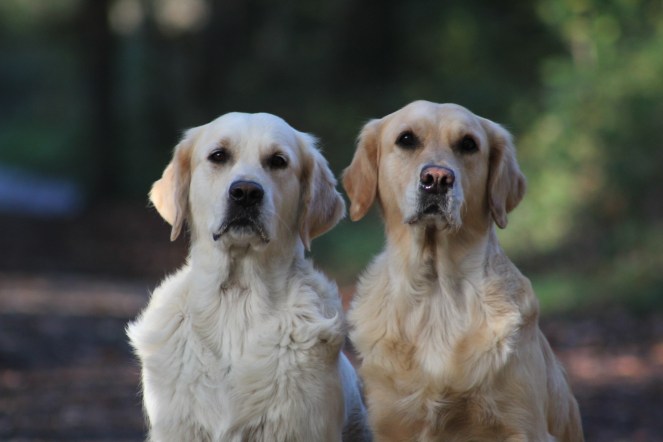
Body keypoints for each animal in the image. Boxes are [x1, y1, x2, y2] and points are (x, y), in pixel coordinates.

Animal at [342, 101, 583, 441]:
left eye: (468, 144)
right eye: (406, 139)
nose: (437, 178)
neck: (436, 291)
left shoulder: (523, 426)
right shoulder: (389, 425)